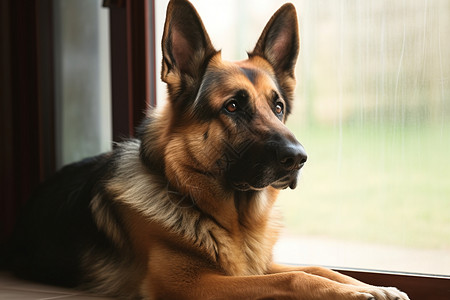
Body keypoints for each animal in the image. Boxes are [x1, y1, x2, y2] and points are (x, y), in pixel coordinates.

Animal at [8, 0, 410, 300]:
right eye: (232, 107)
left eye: (278, 107)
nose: (298, 158)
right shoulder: (191, 284)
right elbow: (293, 278)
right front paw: (356, 292)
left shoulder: (255, 264)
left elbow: (318, 267)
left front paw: (376, 287)